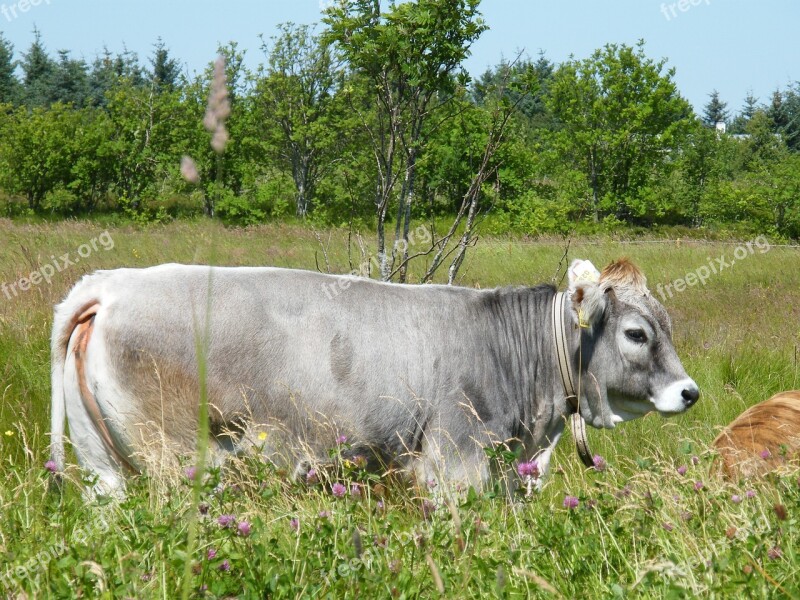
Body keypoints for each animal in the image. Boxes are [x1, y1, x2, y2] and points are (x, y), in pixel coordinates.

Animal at [51, 258, 700, 492]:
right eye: (637, 334)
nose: (690, 391)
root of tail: (111, 284)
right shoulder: (454, 464)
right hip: (177, 458)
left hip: (102, 466)